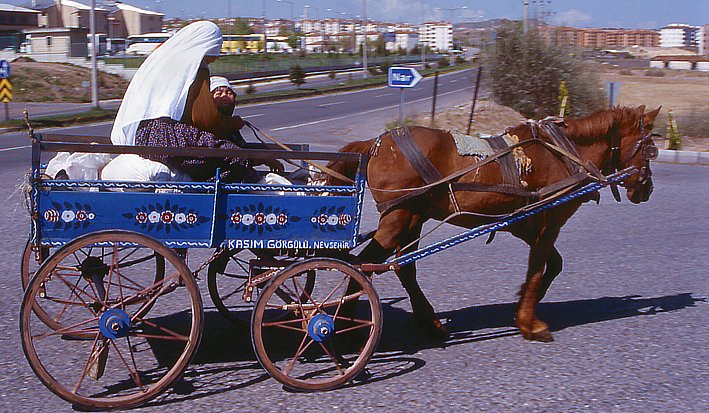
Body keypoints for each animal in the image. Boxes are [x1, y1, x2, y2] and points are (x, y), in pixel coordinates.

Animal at [324, 105, 660, 342]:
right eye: (651, 149)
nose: (646, 189)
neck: (563, 152)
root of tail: (376, 143)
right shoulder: (550, 221)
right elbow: (538, 267)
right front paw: (529, 322)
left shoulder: (525, 223)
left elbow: (552, 265)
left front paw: (523, 302)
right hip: (399, 217)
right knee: (364, 264)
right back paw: (349, 321)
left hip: (413, 217)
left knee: (402, 267)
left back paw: (427, 322)